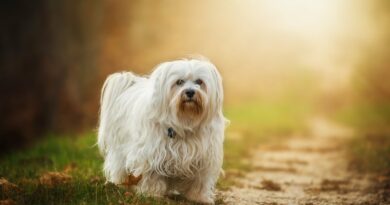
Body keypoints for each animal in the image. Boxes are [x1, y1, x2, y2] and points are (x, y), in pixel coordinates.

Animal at [96, 57, 229, 203]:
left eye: (199, 81)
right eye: (179, 82)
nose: (190, 92)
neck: (185, 121)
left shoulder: (203, 158)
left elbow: (199, 181)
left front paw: (199, 198)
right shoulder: (152, 155)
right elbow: (152, 176)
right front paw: (151, 194)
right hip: (120, 149)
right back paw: (121, 184)